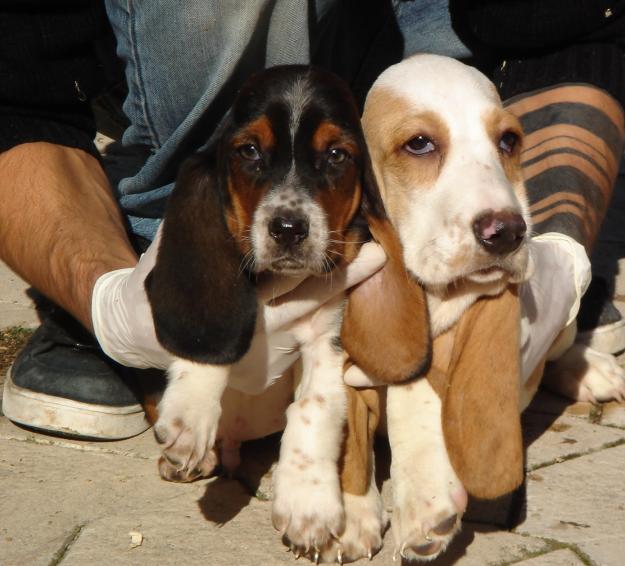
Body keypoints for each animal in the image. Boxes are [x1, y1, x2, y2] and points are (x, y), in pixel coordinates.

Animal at [146, 65, 428, 564]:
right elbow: (211, 350)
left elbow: (314, 407)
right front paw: (187, 418)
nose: (289, 229)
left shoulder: (328, 338)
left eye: (336, 155)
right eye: (249, 151)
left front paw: (307, 502)